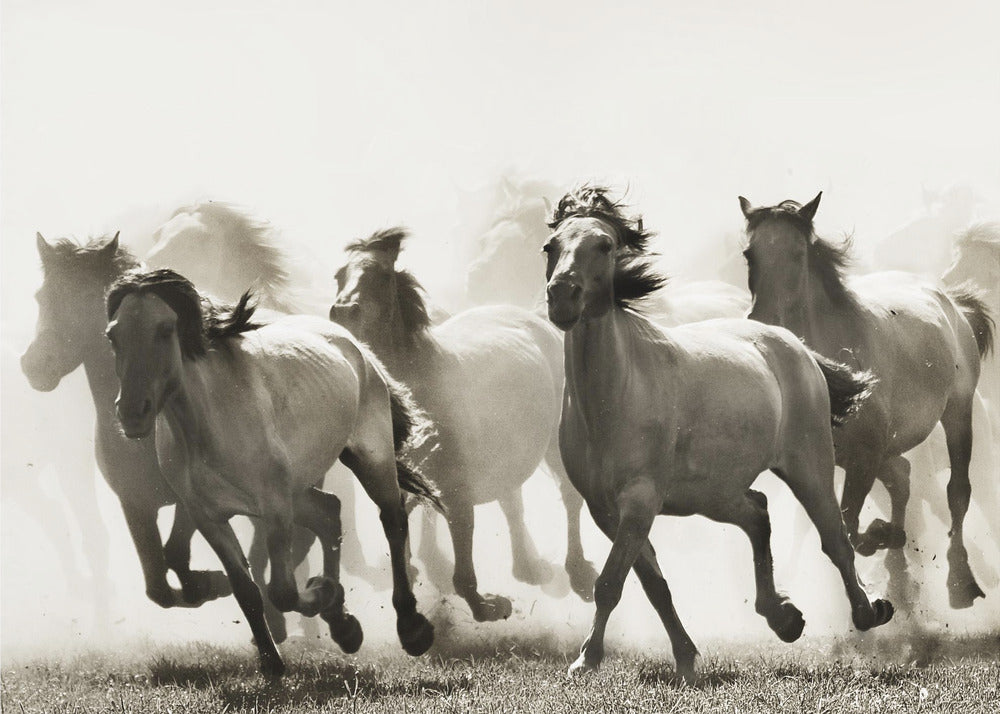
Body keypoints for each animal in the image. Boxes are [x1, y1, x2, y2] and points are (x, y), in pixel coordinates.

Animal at [105, 268, 438, 675]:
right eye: (113, 335)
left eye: (166, 329)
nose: (131, 412)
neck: (209, 423)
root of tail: (354, 344)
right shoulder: (208, 517)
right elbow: (246, 589)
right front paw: (271, 661)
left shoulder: (274, 507)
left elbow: (281, 590)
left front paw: (321, 591)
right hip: (299, 488)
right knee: (329, 512)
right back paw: (343, 627)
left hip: (370, 458)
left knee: (392, 519)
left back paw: (411, 628)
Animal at [330, 228, 599, 621]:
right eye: (339, 276)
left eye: (380, 276)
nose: (342, 313)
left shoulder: (457, 490)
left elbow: (462, 567)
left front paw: (488, 605)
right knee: (511, 501)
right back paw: (529, 568)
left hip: (553, 442)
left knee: (568, 497)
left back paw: (578, 574)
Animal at [542, 185, 892, 680]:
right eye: (550, 247)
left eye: (605, 245)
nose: (562, 297)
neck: (613, 398)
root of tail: (795, 345)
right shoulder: (605, 510)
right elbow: (653, 586)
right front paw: (685, 658)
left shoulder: (639, 501)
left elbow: (610, 582)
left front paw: (585, 659)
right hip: (713, 494)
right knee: (758, 513)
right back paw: (783, 617)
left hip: (809, 467)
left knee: (836, 540)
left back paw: (868, 611)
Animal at [739, 192, 995, 610]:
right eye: (749, 253)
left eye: (797, 253)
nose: (764, 320)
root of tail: (953, 303)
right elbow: (846, 525)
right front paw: (886, 540)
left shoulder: (865, 455)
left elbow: (849, 524)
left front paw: (880, 541)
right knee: (903, 478)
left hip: (958, 412)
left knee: (957, 492)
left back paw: (960, 582)